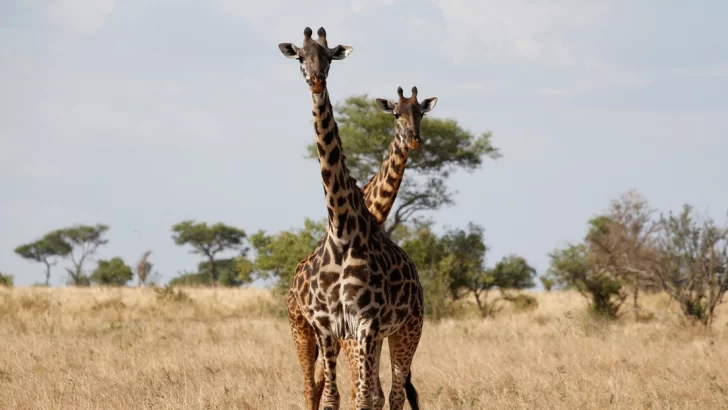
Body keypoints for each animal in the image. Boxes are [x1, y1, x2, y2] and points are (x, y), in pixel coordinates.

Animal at [278, 27, 426, 408]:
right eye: (301, 56)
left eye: (329, 55)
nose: (316, 80)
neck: (344, 229)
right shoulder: (330, 327)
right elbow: (336, 396)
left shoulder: (365, 325)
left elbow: (365, 396)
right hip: (300, 328)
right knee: (312, 385)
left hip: (408, 328)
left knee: (394, 391)